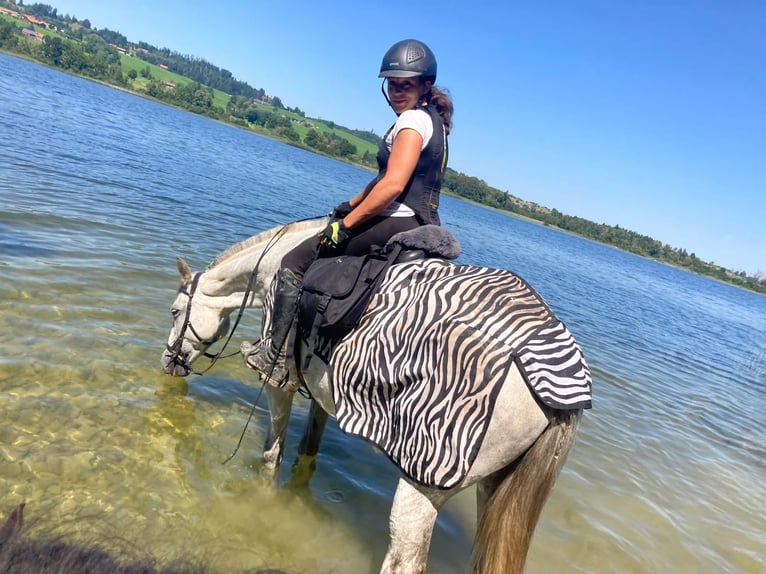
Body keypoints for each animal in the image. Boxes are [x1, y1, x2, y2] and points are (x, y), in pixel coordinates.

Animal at [160, 219, 590, 574]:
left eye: (175, 310)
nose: (168, 363)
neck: (272, 268)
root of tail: (558, 390)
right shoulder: (323, 389)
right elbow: (309, 446)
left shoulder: (279, 382)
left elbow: (272, 453)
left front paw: (264, 500)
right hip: (494, 489)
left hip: (425, 482)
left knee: (404, 561)